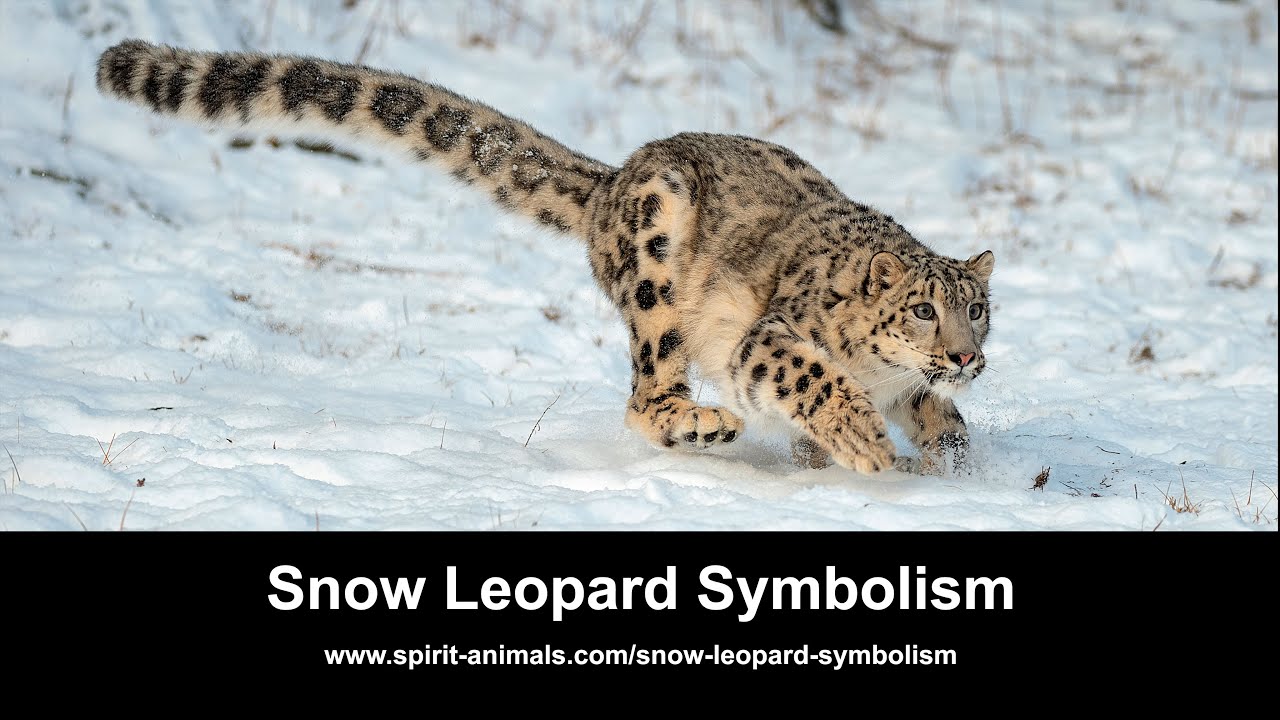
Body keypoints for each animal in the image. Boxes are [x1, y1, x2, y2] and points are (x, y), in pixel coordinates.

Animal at [95, 39, 994, 475]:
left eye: (977, 311)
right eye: (922, 308)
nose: (964, 356)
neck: (889, 377)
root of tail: (615, 178)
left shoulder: (916, 388)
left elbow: (935, 418)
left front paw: (951, 458)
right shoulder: (768, 340)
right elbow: (817, 381)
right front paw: (868, 450)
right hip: (659, 266)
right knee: (645, 396)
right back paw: (703, 423)